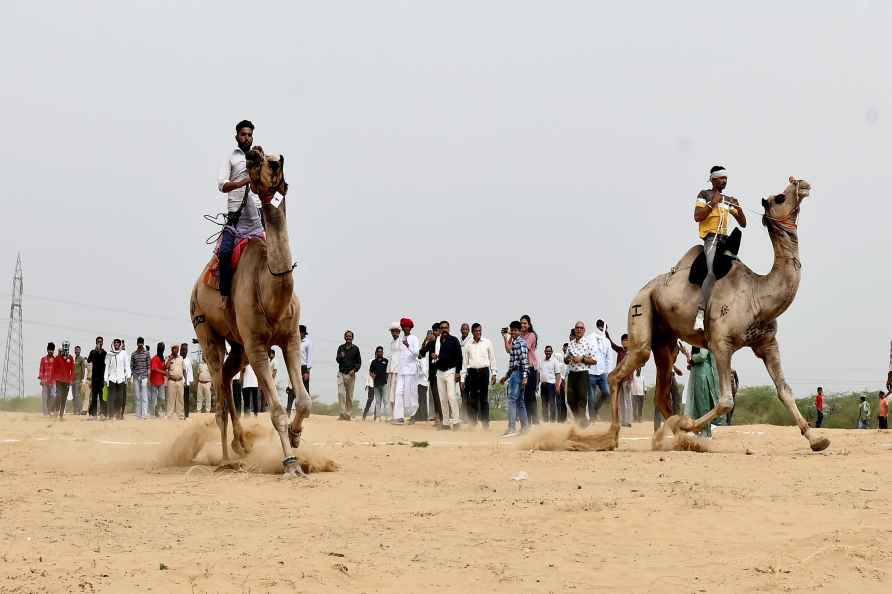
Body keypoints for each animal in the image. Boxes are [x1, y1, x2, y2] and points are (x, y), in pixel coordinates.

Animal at [189, 148, 314, 476]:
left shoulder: (290, 338)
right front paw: (291, 464)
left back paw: (242, 444)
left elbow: (305, 400)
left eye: (276, 160)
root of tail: (194, 289)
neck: (272, 293)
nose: (255, 155)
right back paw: (226, 459)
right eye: (254, 161)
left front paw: (296, 436)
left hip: (239, 344)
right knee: (219, 390)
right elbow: (277, 409)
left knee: (227, 376)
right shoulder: (258, 346)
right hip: (205, 330)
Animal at [584, 175, 828, 448]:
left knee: (661, 392)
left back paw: (677, 438)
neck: (757, 295)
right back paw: (613, 437)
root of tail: (642, 291)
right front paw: (690, 424)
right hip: (641, 312)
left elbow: (784, 390)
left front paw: (816, 439)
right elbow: (725, 401)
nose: (802, 183)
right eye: (780, 197)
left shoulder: (767, 344)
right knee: (620, 372)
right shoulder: (721, 343)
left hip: (665, 340)